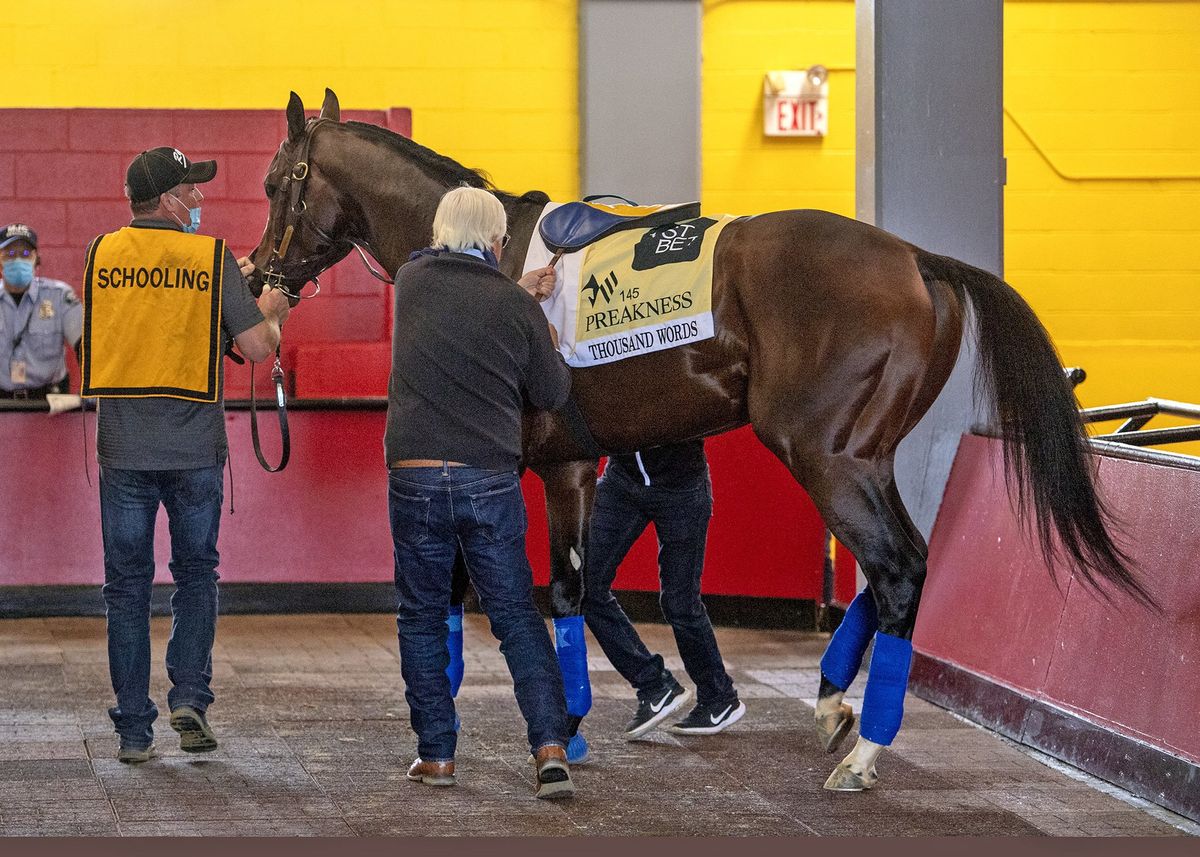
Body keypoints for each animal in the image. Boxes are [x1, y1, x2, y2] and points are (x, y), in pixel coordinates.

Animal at [246, 90, 1152, 792]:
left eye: (273, 182)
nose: (258, 273)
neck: (483, 254)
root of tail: (914, 257)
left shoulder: (513, 467)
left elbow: (522, 591)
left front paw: (549, 724)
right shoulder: (571, 466)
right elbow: (569, 591)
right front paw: (575, 721)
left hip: (824, 455)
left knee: (897, 570)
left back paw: (862, 748)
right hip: (865, 455)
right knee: (908, 564)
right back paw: (833, 700)